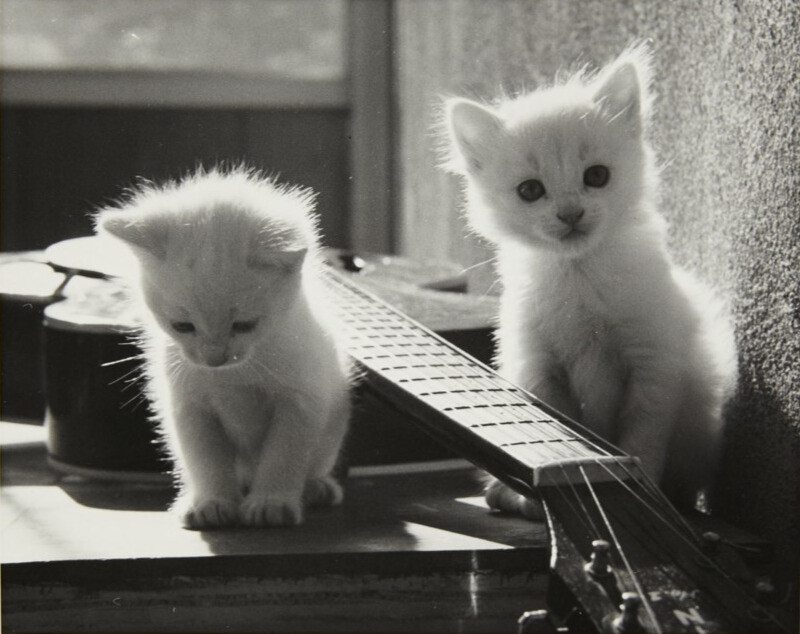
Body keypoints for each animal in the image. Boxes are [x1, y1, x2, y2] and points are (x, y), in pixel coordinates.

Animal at [97, 168, 354, 528]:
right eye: (182, 326)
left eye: (245, 325)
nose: (214, 358)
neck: (235, 375)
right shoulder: (189, 405)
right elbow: (205, 458)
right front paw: (212, 501)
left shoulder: (302, 399)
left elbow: (284, 454)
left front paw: (271, 502)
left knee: (314, 462)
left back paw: (317, 487)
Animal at [444, 47, 736, 516]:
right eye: (530, 190)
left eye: (596, 176)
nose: (570, 213)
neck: (578, 276)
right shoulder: (538, 367)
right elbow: (561, 431)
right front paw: (543, 491)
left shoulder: (653, 365)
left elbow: (643, 439)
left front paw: (645, 493)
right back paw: (507, 495)